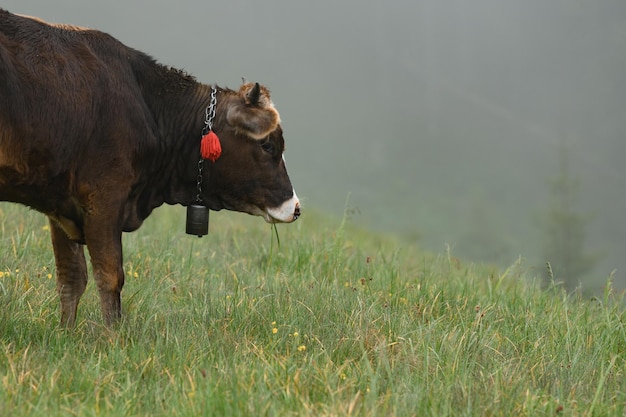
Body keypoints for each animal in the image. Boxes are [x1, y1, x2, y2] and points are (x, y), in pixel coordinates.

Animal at [0, 8, 300, 324]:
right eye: (268, 145)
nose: (295, 207)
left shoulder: (61, 205)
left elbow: (71, 278)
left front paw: (64, 332)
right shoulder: (104, 198)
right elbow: (110, 277)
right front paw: (112, 336)